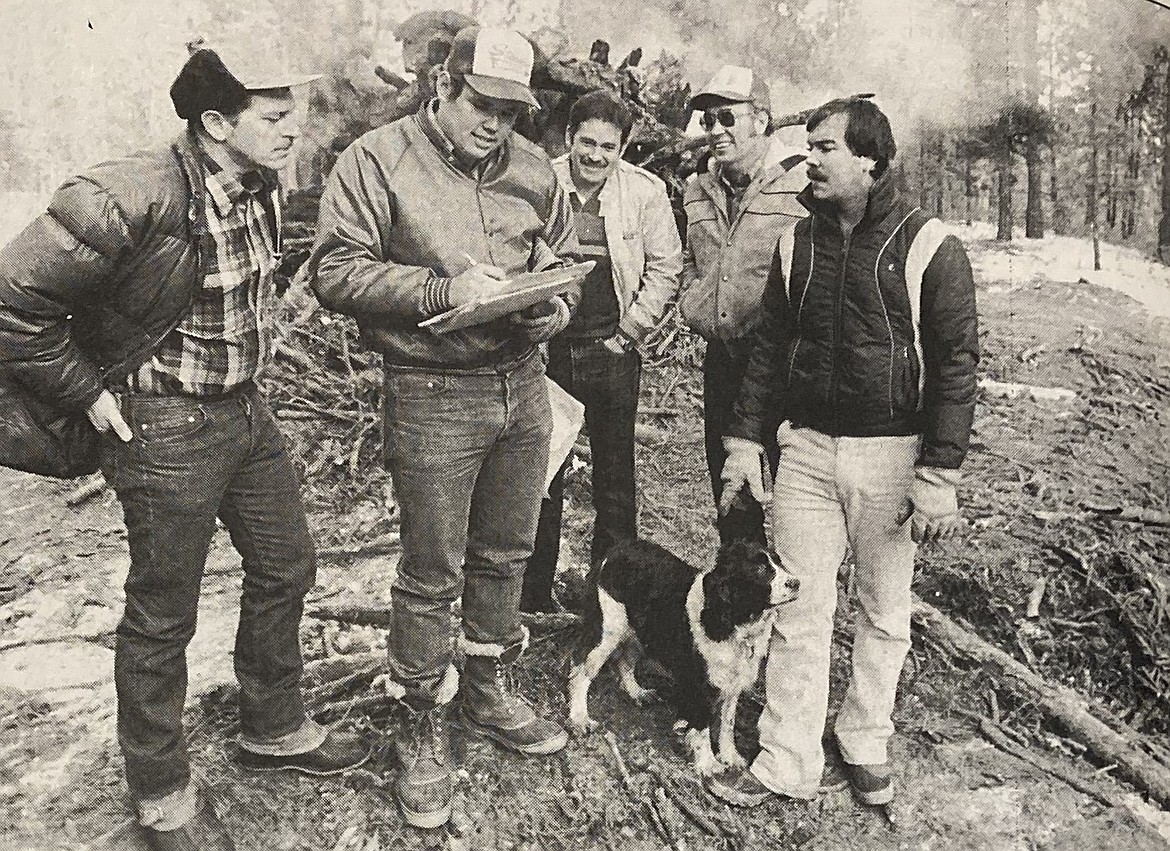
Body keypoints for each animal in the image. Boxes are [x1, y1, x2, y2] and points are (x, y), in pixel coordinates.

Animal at [568, 543, 804, 777]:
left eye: (779, 562)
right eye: (759, 569)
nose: (796, 583)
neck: (733, 621)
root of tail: (615, 550)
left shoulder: (731, 682)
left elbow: (727, 722)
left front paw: (730, 756)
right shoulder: (701, 685)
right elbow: (703, 726)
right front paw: (708, 764)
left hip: (642, 631)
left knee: (625, 662)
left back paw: (638, 692)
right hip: (607, 630)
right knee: (581, 670)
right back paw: (579, 718)